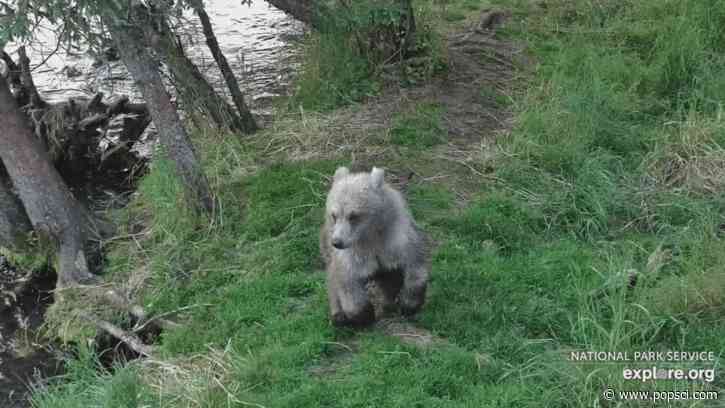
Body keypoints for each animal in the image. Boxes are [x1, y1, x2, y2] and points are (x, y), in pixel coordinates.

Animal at [320, 166, 430, 327]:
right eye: (334, 215)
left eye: (354, 215)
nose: (337, 242)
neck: (371, 236)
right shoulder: (351, 256)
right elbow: (347, 284)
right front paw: (364, 316)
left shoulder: (398, 241)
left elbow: (415, 268)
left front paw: (409, 305)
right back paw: (339, 317)